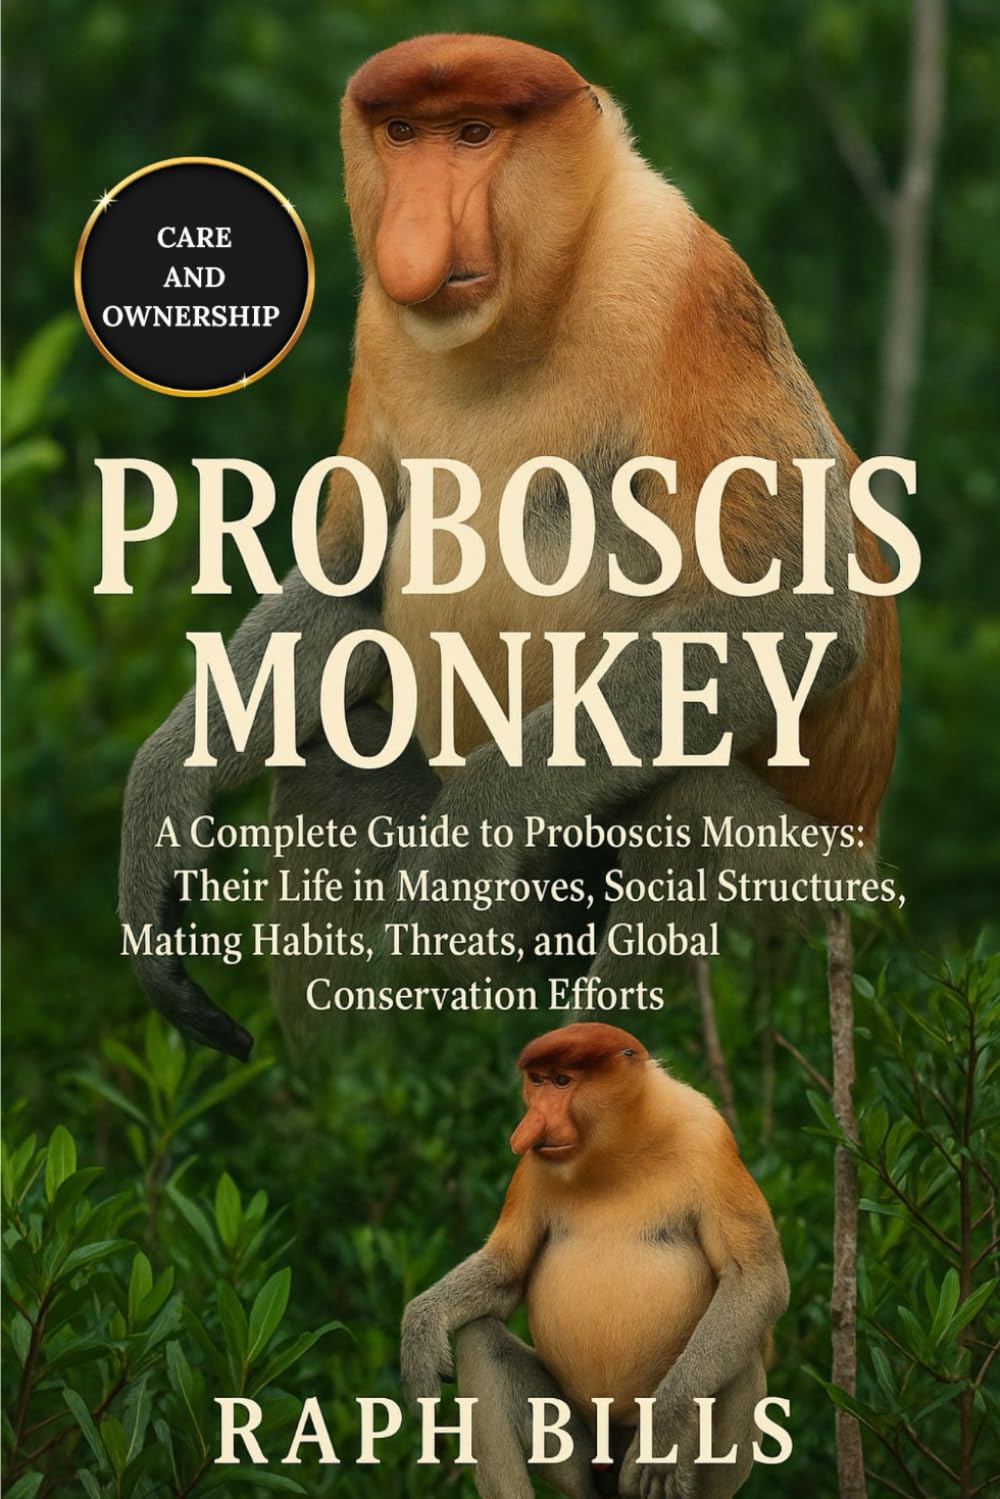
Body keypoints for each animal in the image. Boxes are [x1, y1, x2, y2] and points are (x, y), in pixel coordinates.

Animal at [117, 34, 899, 1059]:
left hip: (821, 898)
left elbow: (793, 614)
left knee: (689, 812)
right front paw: (158, 813)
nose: (416, 229)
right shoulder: (380, 326)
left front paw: (456, 860)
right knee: (333, 755)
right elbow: (351, 579)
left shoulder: (686, 284)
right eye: (402, 133)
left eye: (474, 134)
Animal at [399, 1022, 790, 1499]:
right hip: (577, 1450)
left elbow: (756, 1278)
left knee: (742, 1355)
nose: (529, 1126)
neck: (618, 1149)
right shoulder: (534, 1165)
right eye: (537, 1081)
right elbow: (507, 1270)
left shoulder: (710, 1140)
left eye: (562, 1081)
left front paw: (664, 1431)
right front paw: (420, 1333)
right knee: (478, 1339)